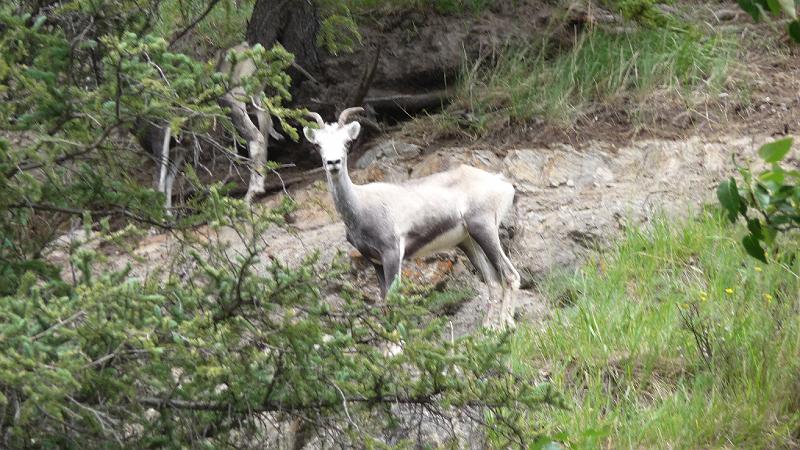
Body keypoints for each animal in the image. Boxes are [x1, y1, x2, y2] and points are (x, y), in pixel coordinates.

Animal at [304, 107, 520, 328]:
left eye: (347, 142)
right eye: (318, 144)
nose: (333, 163)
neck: (360, 205)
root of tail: (501, 182)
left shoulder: (392, 253)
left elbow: (394, 299)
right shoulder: (375, 261)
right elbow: (384, 300)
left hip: (484, 230)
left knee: (510, 276)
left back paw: (505, 327)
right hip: (468, 241)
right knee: (493, 281)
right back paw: (488, 328)